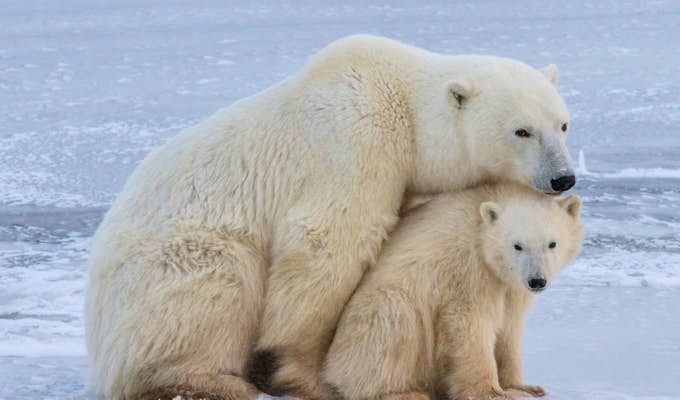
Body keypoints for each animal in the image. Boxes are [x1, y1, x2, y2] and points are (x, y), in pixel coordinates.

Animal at [322, 182, 584, 400]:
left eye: (552, 243)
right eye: (517, 245)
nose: (537, 281)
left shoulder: (510, 286)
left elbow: (510, 328)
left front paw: (524, 387)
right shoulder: (468, 269)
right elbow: (469, 324)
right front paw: (491, 392)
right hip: (370, 322)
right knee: (396, 322)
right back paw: (403, 393)